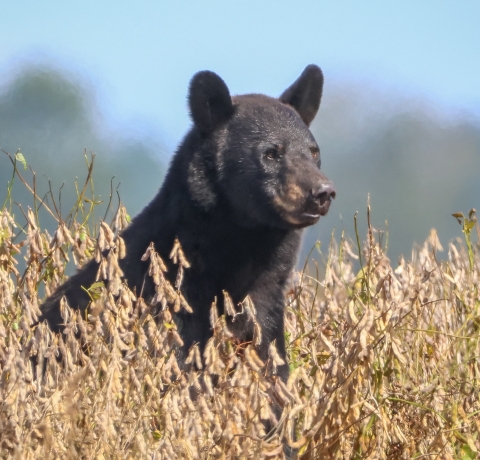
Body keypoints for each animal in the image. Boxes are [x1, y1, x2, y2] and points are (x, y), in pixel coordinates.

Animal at [39, 63, 336, 380]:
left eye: (314, 151)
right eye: (271, 153)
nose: (321, 192)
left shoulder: (264, 304)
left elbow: (270, 364)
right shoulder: (170, 302)